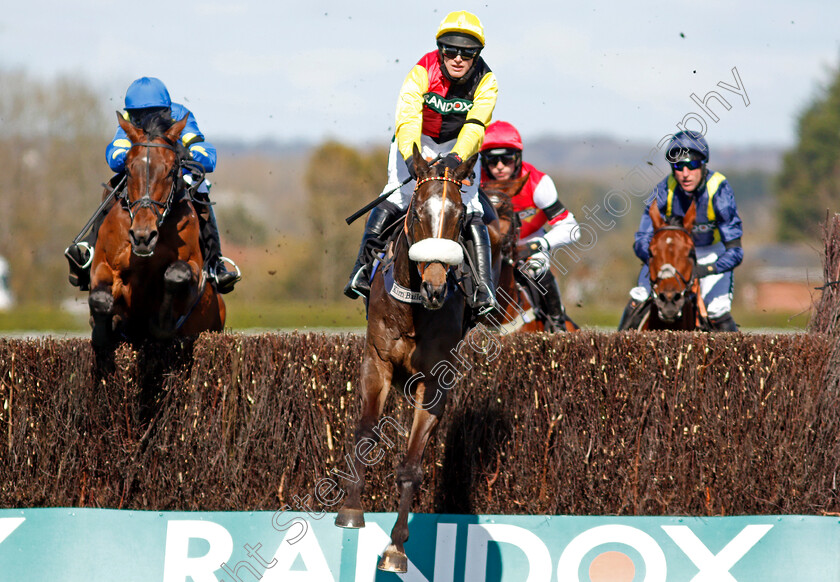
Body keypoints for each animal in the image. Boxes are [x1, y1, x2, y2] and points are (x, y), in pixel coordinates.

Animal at [87, 114, 225, 350]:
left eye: (170, 170)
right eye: (128, 168)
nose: (143, 236)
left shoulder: (193, 266)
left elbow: (176, 274)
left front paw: (162, 323)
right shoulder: (103, 264)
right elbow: (100, 299)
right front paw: (105, 329)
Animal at [334, 144, 480, 572]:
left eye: (459, 218)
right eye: (417, 215)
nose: (435, 287)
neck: (414, 308)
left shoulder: (435, 383)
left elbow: (413, 464)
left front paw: (396, 547)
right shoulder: (377, 362)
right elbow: (366, 433)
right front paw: (351, 509)